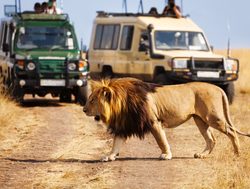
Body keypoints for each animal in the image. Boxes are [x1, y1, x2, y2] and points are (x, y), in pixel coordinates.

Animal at [83, 77, 248, 162]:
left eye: (92, 100)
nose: (84, 109)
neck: (121, 104)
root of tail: (218, 88)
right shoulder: (124, 125)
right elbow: (116, 144)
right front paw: (109, 156)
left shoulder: (154, 121)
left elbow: (161, 140)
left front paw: (166, 155)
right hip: (200, 120)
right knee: (211, 139)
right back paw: (201, 155)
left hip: (213, 117)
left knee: (232, 132)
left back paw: (237, 154)